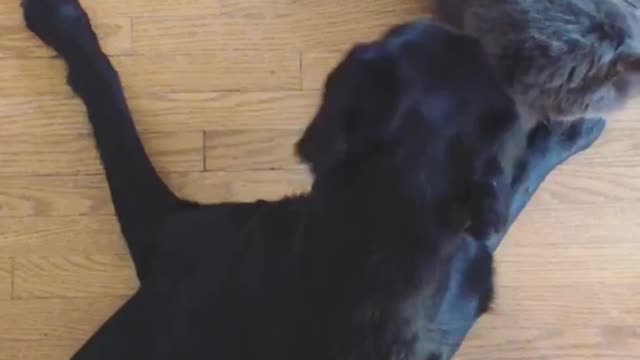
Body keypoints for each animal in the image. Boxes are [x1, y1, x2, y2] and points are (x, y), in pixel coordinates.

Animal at [18, 1, 600, 358]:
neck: (396, 218)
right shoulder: (470, 247)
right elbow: (513, 190)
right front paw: (573, 129)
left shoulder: (165, 229)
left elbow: (108, 99)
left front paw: (60, 20)